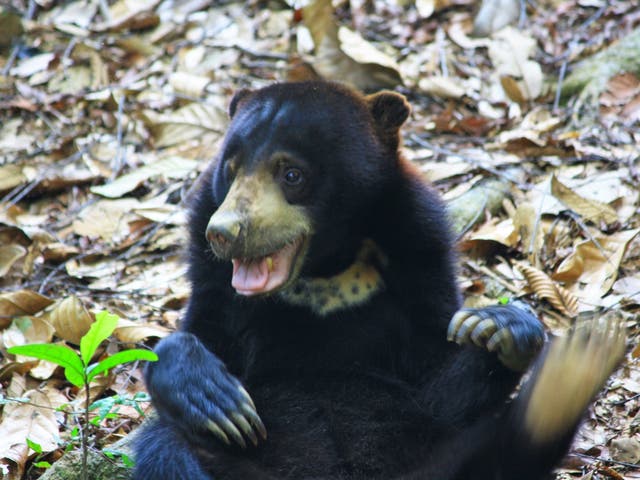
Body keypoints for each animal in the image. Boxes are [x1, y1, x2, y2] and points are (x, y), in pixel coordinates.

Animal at [132, 80, 628, 478]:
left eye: (291, 173)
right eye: (231, 169)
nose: (225, 232)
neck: (325, 268)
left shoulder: (421, 247)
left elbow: (437, 378)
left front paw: (497, 327)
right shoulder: (211, 271)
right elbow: (205, 334)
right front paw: (213, 396)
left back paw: (572, 373)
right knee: (168, 448)